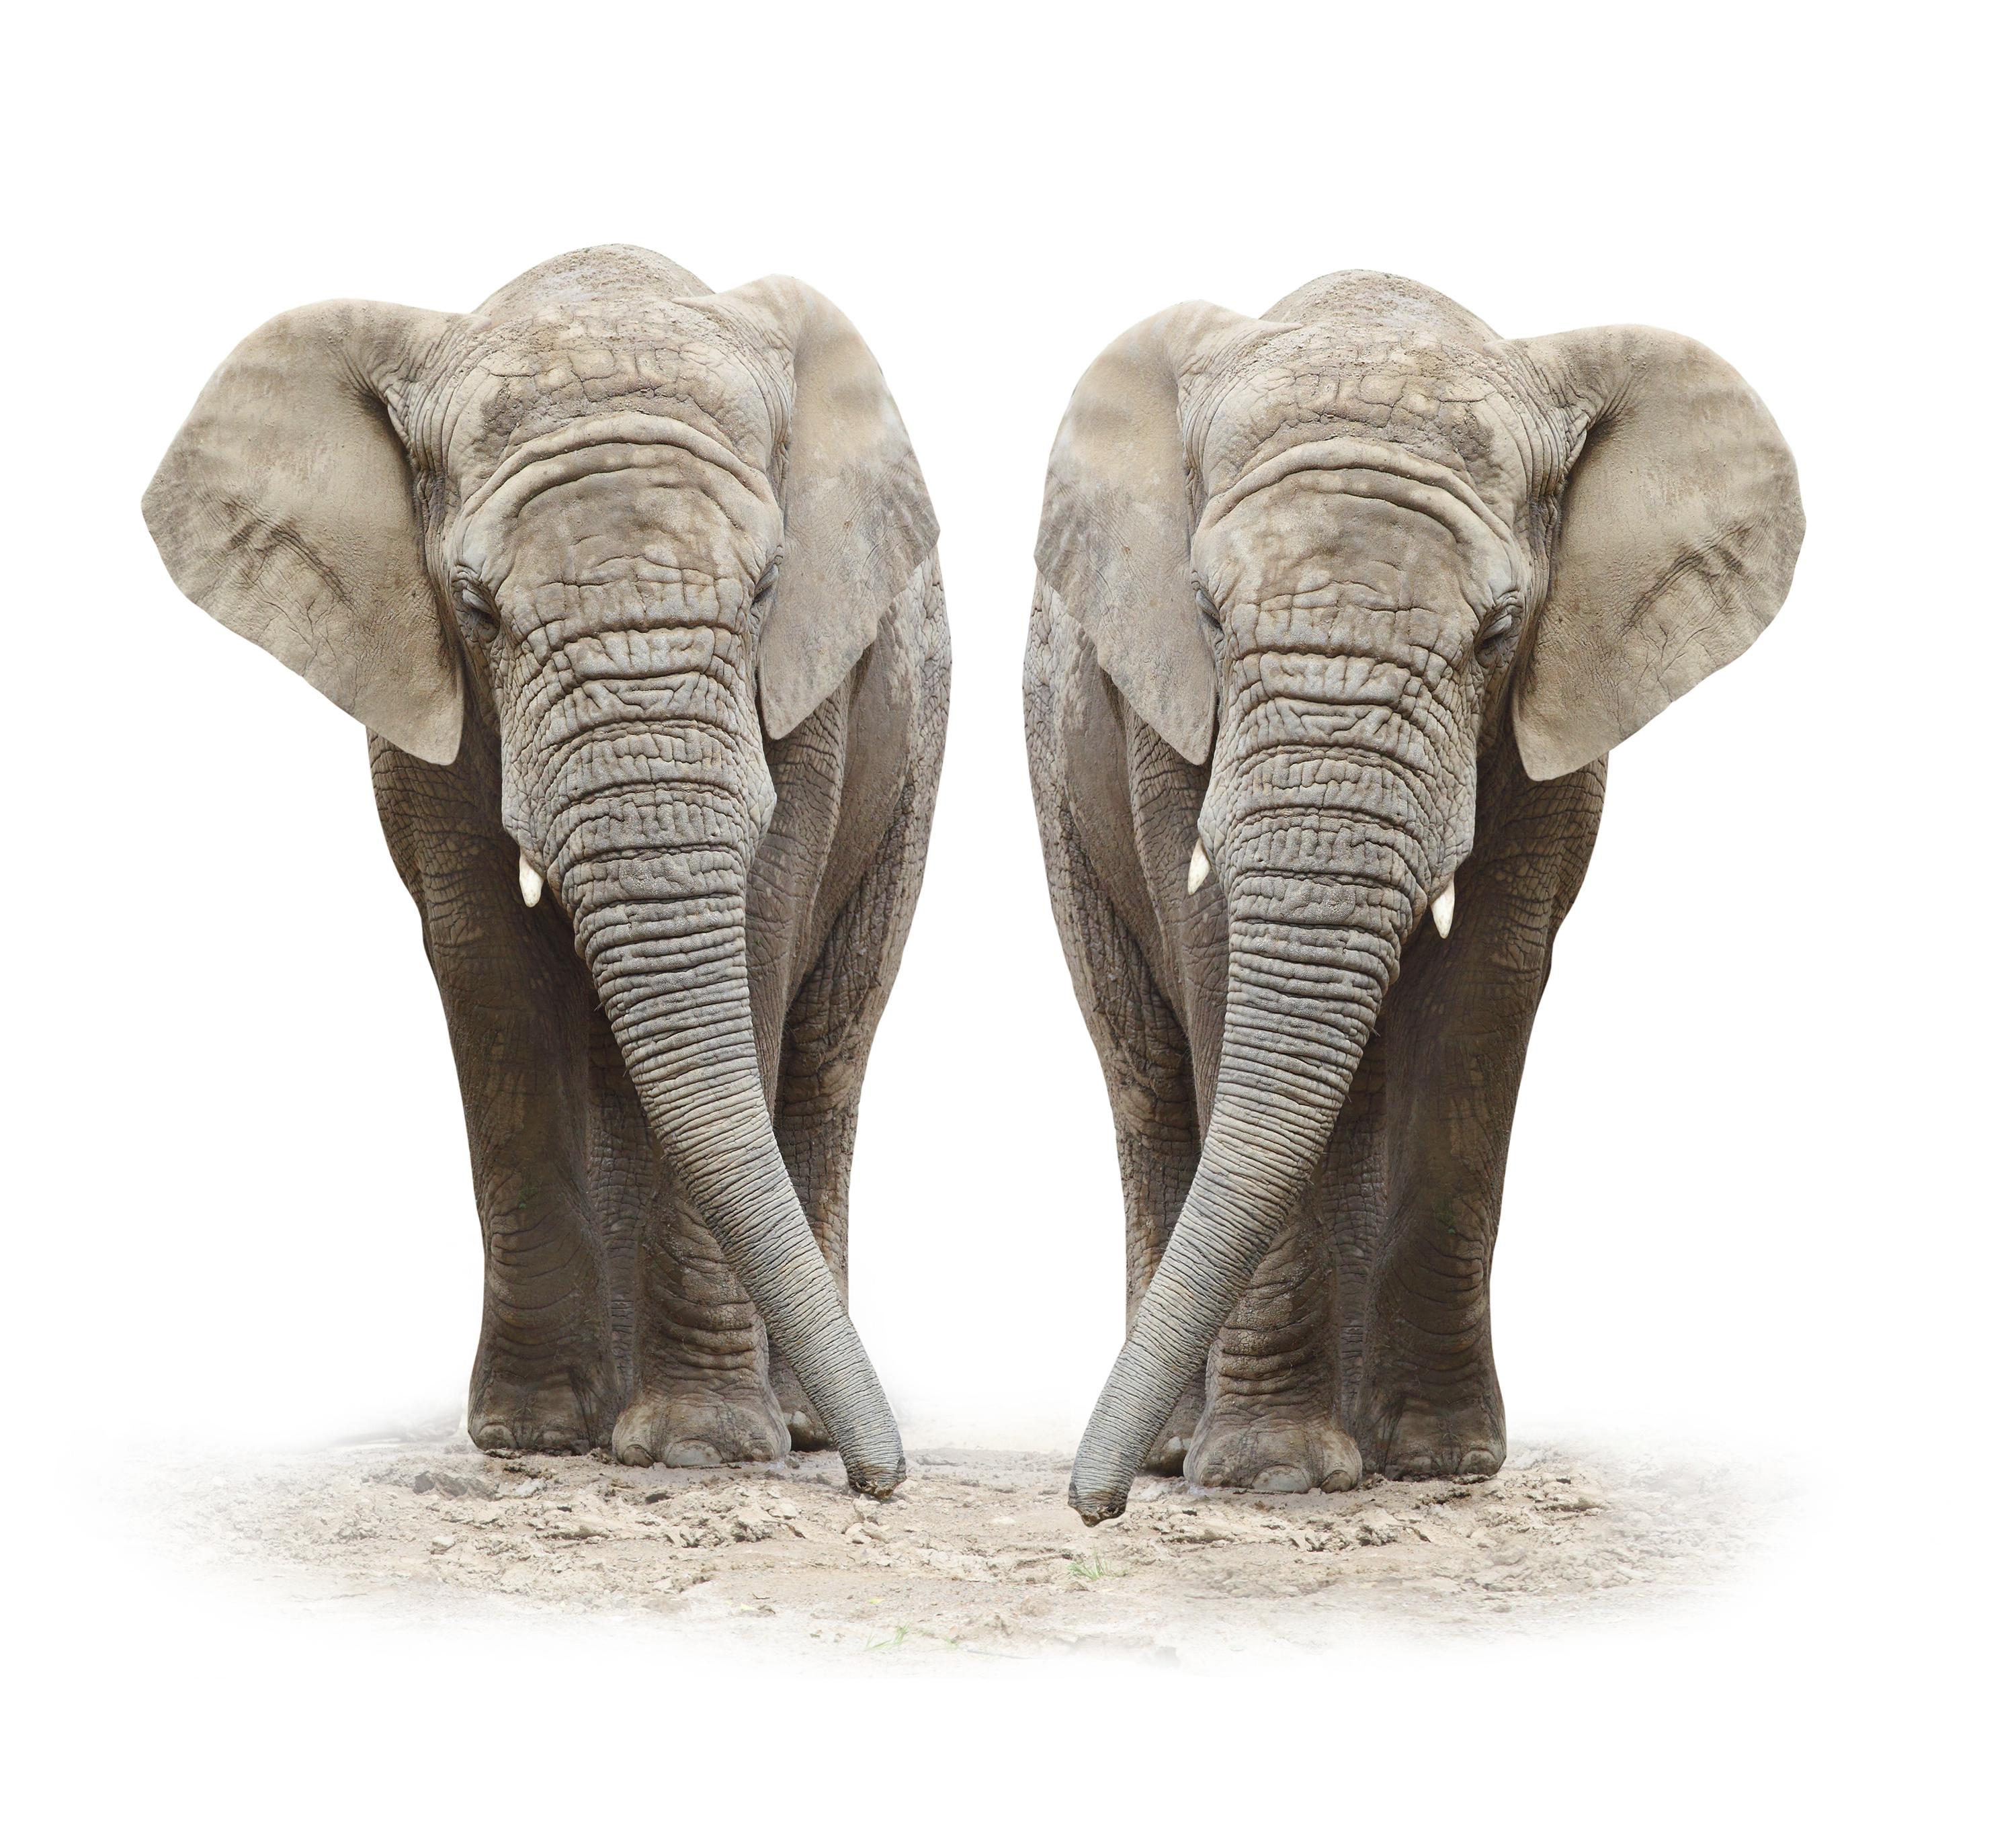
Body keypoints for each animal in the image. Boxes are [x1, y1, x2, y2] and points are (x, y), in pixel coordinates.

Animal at [144, 245, 948, 1497]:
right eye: (476, 605)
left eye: (767, 586)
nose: (886, 1480)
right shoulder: (414, 676)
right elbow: (486, 962)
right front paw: (534, 1433)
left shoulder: (811, 684)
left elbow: (762, 932)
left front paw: (704, 1447)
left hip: (914, 750)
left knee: (827, 1046)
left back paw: (794, 1418)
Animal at [1025, 270, 1801, 1523]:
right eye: (1207, 613)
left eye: (1497, 631)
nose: (1087, 1507)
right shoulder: (1163, 715)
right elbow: (1214, 959)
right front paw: (1273, 1471)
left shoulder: (1558, 707)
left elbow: (1487, 990)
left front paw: (1440, 1459)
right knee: (1144, 1068)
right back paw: (1181, 1441)